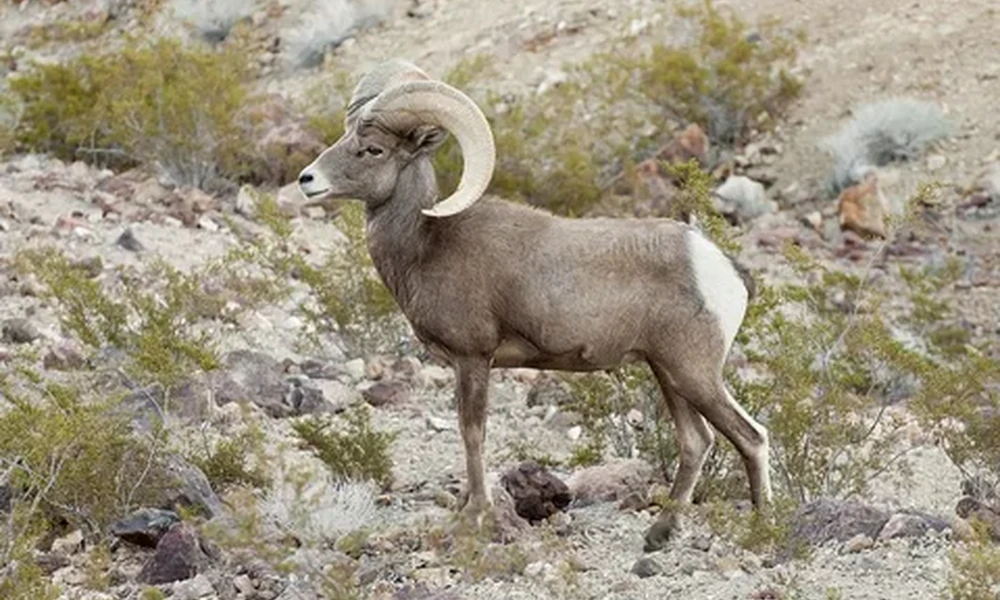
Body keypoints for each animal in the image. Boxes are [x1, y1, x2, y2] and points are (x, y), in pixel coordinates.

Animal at [297, 59, 771, 552]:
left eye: (372, 149)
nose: (307, 180)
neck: (427, 244)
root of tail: (723, 268)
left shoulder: (473, 358)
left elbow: (472, 433)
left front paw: (477, 517)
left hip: (694, 374)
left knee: (752, 438)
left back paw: (761, 529)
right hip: (668, 374)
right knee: (696, 442)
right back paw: (658, 535)